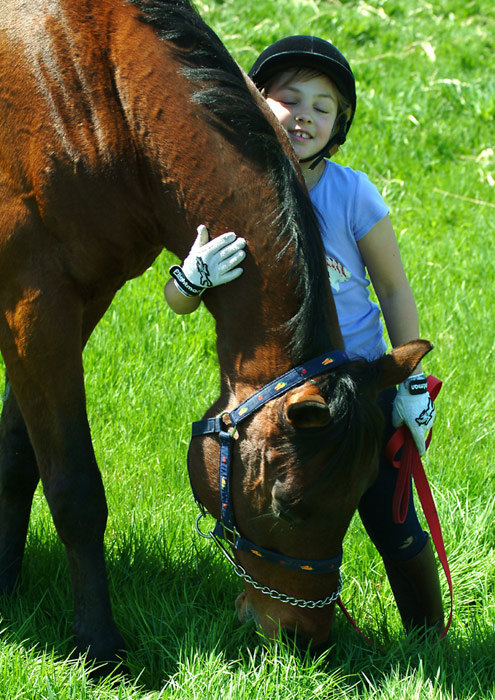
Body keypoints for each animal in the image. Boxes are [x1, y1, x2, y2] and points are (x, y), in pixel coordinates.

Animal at [0, 0, 430, 668]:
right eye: (288, 504)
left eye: (361, 495)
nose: (305, 639)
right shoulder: (35, 304)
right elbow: (73, 484)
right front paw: (98, 645)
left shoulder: (78, 300)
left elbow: (19, 453)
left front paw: (5, 583)